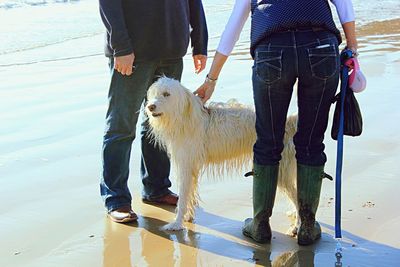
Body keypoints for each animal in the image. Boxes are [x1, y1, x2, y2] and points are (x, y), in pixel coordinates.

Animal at [145, 77, 298, 232]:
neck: (185, 117)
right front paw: (188, 217)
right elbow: (190, 194)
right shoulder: (191, 167)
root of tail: (288, 121)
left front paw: (176, 223)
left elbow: (182, 198)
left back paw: (297, 226)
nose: (150, 107)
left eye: (166, 94)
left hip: (281, 170)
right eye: (154, 94)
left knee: (297, 197)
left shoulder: (186, 166)